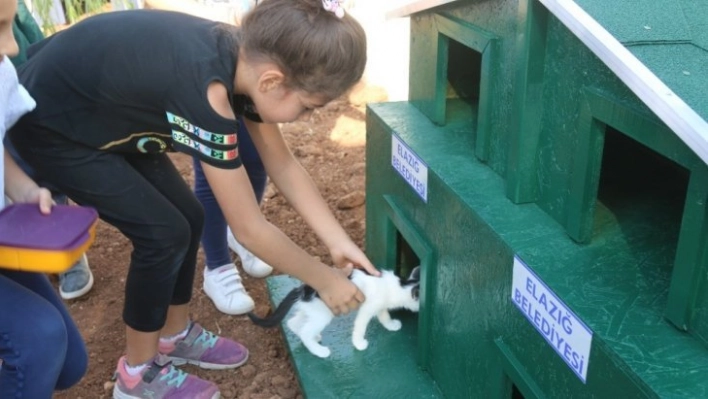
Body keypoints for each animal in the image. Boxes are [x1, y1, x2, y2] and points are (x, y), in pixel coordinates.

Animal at [248, 268, 420, 360]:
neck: (398, 286)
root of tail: (303, 289)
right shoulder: (367, 308)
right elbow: (360, 327)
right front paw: (359, 344)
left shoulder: (380, 305)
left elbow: (384, 316)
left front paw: (391, 325)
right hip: (323, 314)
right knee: (304, 331)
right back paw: (318, 350)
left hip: (313, 310)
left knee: (293, 323)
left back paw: (313, 338)